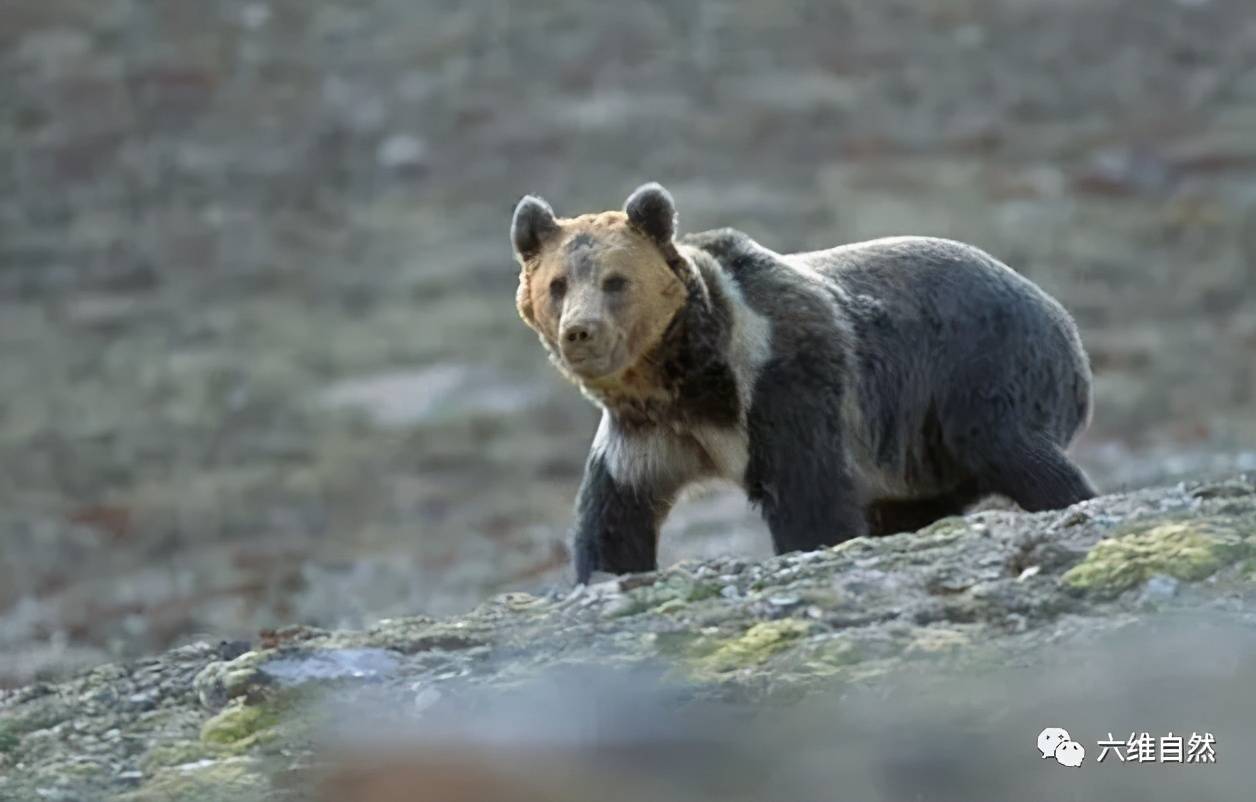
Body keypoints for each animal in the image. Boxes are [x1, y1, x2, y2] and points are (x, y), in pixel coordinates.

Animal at [507, 181, 1090, 582]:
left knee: (1013, 449)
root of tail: (1066, 325)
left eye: (616, 281)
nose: (581, 331)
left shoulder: (784, 382)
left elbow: (810, 498)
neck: (692, 378)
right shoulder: (646, 435)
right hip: (916, 455)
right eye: (558, 283)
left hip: (978, 374)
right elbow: (614, 514)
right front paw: (605, 569)